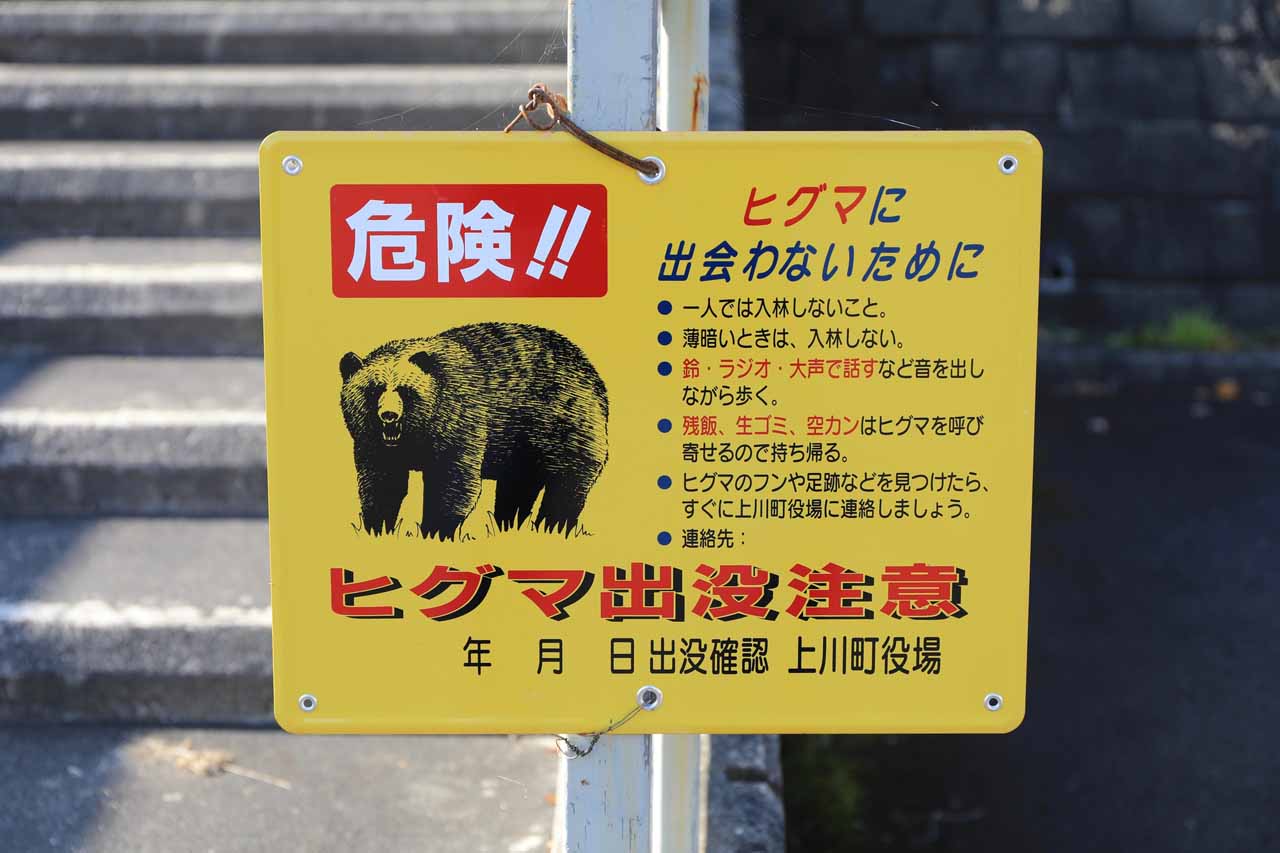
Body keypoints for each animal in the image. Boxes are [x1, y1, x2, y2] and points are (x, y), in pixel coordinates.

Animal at [339, 323, 609, 540]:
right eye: (375, 389)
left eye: (405, 390)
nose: (389, 415)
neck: (416, 434)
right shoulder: (373, 443)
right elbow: (382, 482)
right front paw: (378, 527)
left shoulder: (460, 421)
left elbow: (452, 482)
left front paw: (435, 531)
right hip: (521, 447)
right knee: (517, 488)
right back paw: (509, 526)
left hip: (564, 425)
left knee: (566, 484)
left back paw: (552, 527)